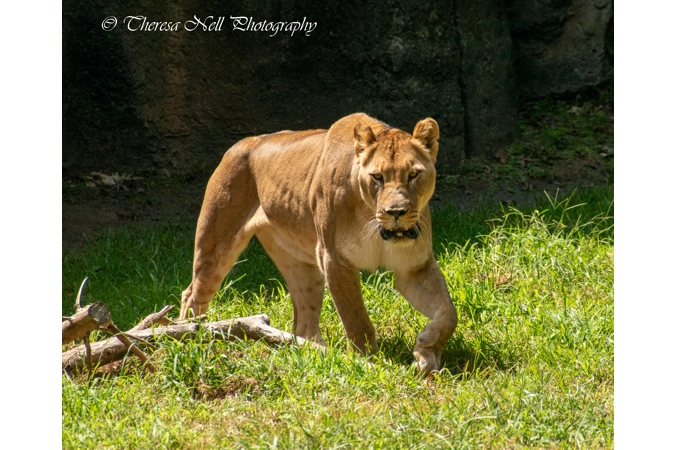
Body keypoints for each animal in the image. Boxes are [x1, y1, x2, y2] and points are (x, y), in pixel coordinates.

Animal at [180, 113, 458, 374]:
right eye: (377, 176)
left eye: (413, 174)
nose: (396, 212)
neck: (373, 220)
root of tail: (242, 142)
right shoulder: (335, 260)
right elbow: (356, 318)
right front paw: (367, 363)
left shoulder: (414, 268)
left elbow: (448, 313)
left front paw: (426, 352)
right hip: (216, 243)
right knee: (192, 294)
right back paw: (191, 336)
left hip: (300, 265)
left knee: (303, 322)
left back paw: (316, 353)